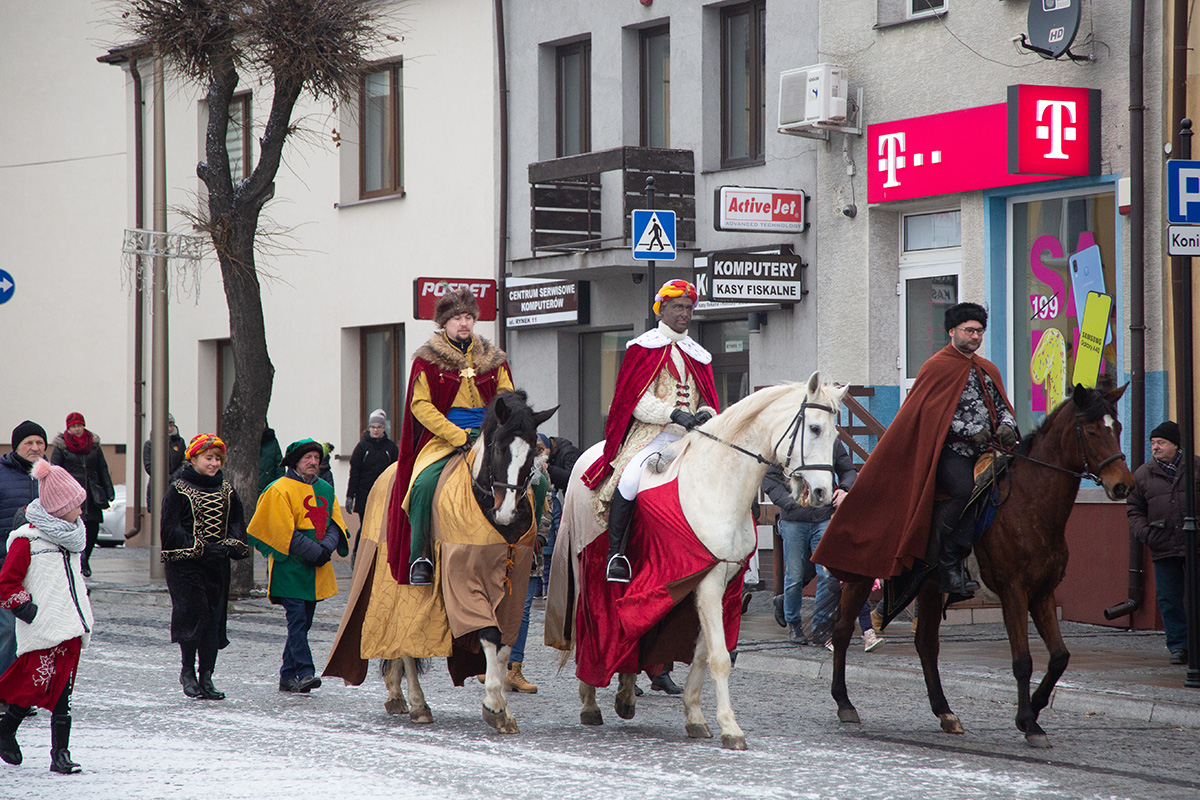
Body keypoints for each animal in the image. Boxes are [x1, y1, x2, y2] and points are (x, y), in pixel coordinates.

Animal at [324, 389, 556, 735]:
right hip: (398, 587)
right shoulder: (464, 581)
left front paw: (503, 707)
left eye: (531, 453)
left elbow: (503, 647)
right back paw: (418, 703)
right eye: (498, 447)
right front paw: (494, 705)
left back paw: (396, 694)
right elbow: (489, 635)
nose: (506, 513)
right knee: (404, 642)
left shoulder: (512, 594)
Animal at [546, 372, 848, 750]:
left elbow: (703, 653)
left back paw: (626, 694)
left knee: (631, 629)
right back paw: (589, 701)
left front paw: (695, 716)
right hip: (587, 569)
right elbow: (719, 657)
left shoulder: (724, 584)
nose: (822, 493)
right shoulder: (707, 583)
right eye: (816, 429)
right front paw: (730, 727)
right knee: (587, 627)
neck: (718, 484)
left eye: (836, 434)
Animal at [827, 383, 1135, 748]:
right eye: (1090, 430)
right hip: (861, 575)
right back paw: (845, 704)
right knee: (842, 630)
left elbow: (1060, 657)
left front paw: (1034, 709)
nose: (1122, 485)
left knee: (926, 643)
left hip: (929, 585)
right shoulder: (1014, 592)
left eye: (1117, 428)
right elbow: (1022, 660)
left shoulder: (1043, 592)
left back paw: (945, 712)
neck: (1030, 503)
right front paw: (1028, 722)